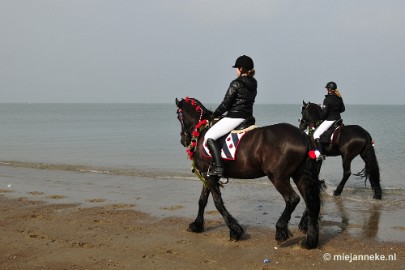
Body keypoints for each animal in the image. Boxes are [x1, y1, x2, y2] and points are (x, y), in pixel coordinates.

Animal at [175, 97, 320, 249]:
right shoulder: (208, 174)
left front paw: (235, 231)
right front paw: (196, 225)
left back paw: (281, 230)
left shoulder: (208, 176)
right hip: (300, 176)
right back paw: (310, 240)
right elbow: (202, 200)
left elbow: (217, 202)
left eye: (178, 115)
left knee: (292, 199)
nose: (183, 139)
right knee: (310, 202)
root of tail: (303, 136)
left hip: (278, 178)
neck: (202, 129)